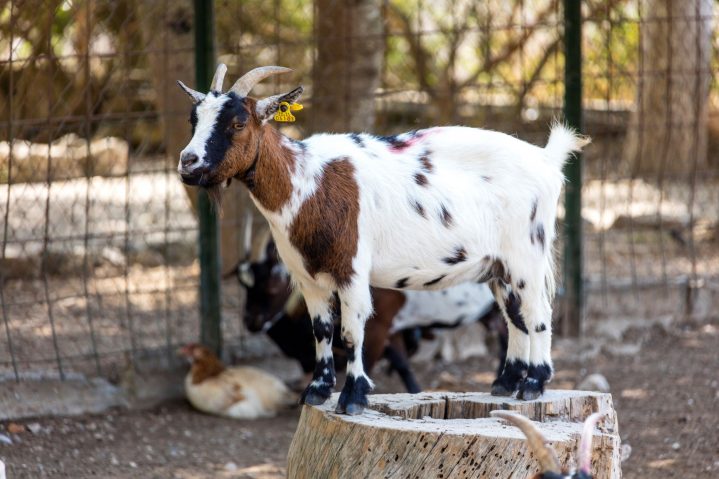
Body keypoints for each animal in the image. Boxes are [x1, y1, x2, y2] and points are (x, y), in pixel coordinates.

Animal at [176, 63, 592, 416]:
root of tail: (546, 159)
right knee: (514, 316)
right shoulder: (308, 277)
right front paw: (317, 392)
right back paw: (506, 384)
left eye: (238, 121)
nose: (188, 162)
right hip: (498, 267)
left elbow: (352, 330)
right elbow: (322, 330)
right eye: (193, 119)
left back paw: (534, 384)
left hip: (526, 254)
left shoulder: (352, 270)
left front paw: (353, 396)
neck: (308, 183)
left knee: (539, 313)